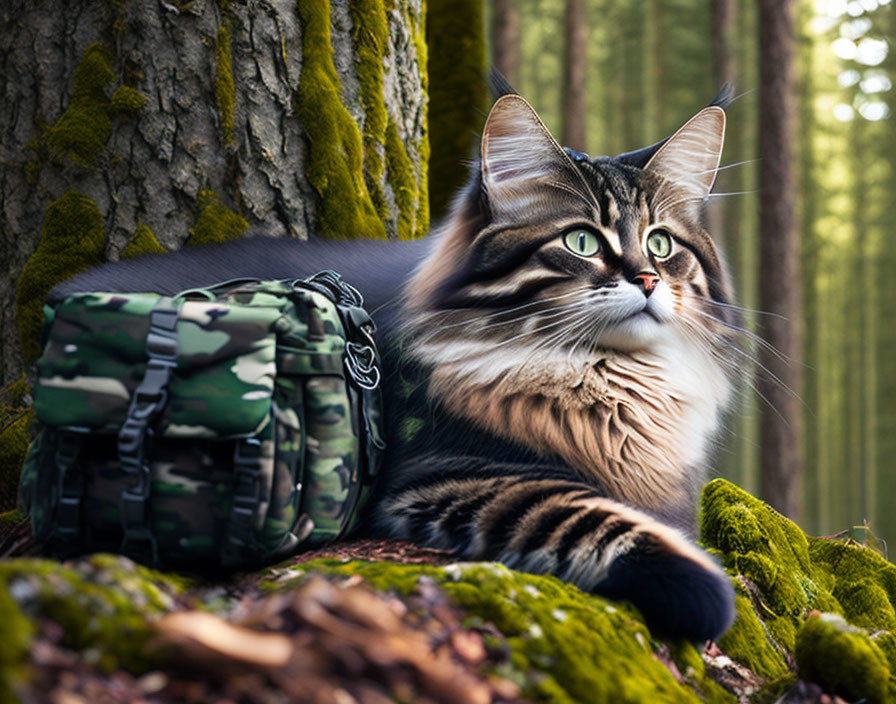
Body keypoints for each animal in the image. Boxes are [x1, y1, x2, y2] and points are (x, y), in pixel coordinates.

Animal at [57, 91, 744, 640]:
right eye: (582, 242)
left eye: (661, 244)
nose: (648, 279)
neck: (609, 383)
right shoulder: (449, 477)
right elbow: (605, 523)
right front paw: (710, 595)